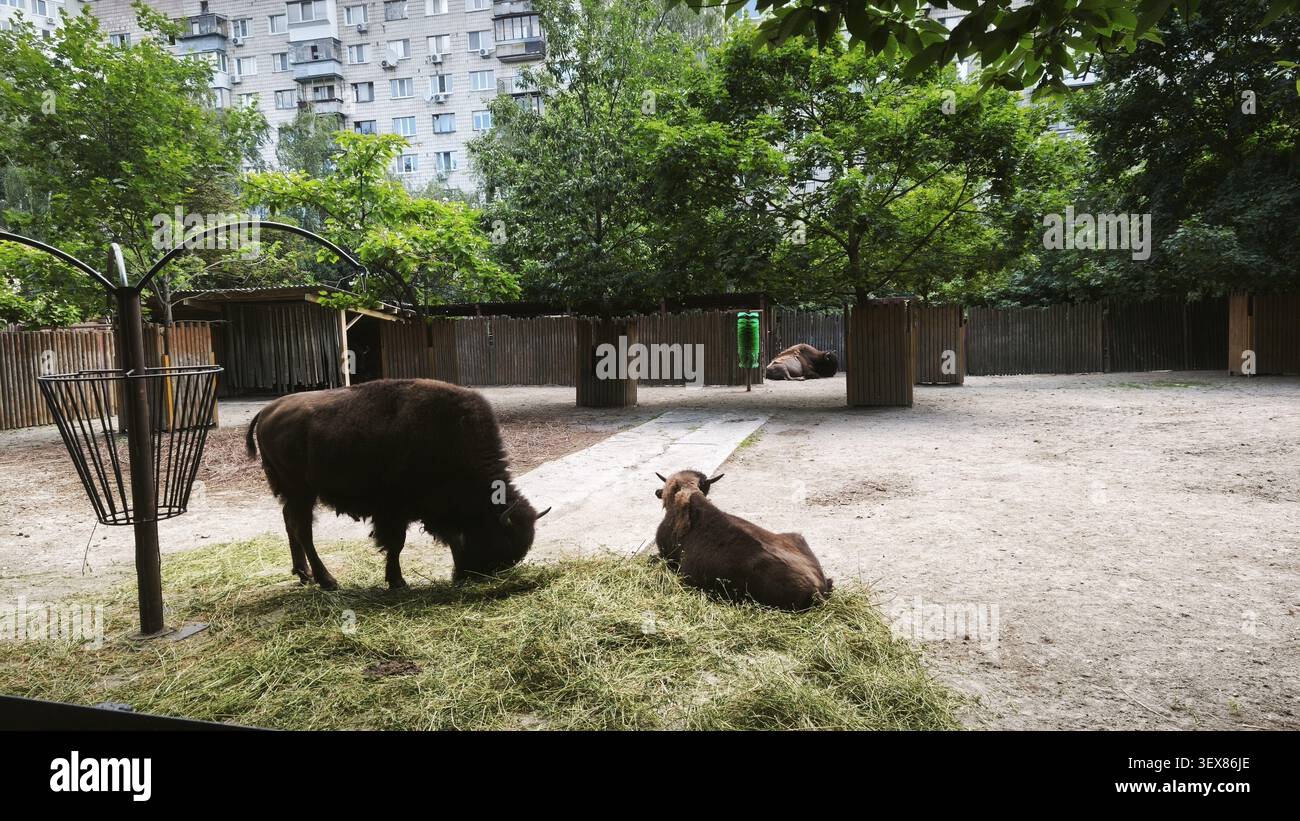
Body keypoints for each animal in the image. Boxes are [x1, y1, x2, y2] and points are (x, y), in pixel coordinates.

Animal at [246, 379, 549, 590]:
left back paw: (303, 574)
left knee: (290, 523)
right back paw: (327, 580)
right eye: (497, 541)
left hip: (295, 494)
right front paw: (398, 582)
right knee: (303, 530)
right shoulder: (393, 511)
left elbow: (444, 539)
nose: (468, 576)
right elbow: (397, 544)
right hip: (302, 492)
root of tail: (267, 411)